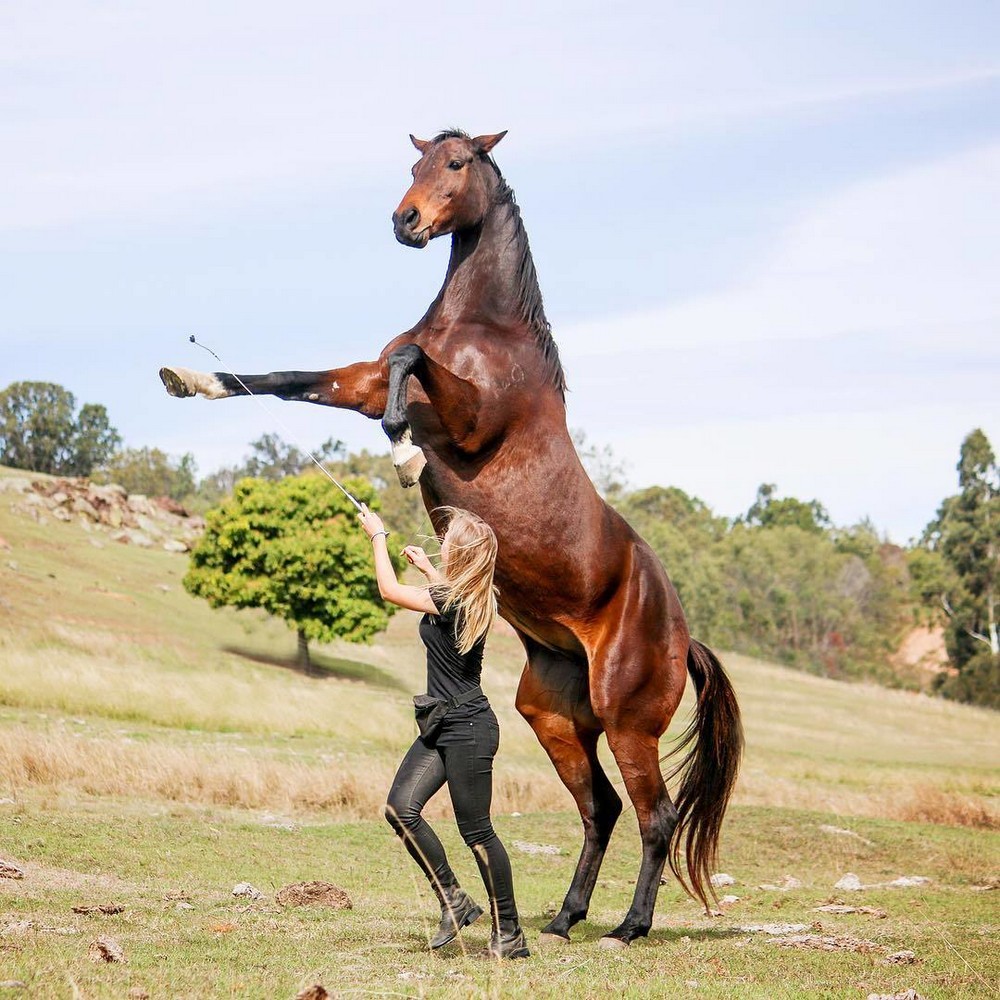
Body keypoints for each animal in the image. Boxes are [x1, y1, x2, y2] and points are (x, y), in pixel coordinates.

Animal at [160, 127, 744, 944]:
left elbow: (412, 369)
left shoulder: (464, 415)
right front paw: (192, 377)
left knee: (654, 816)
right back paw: (565, 918)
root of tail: (679, 632)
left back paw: (628, 927)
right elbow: (292, 377)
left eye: (458, 164)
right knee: (600, 808)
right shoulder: (362, 378)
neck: (484, 330)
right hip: (556, 716)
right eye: (415, 163)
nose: (405, 221)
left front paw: (403, 451)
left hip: (629, 721)